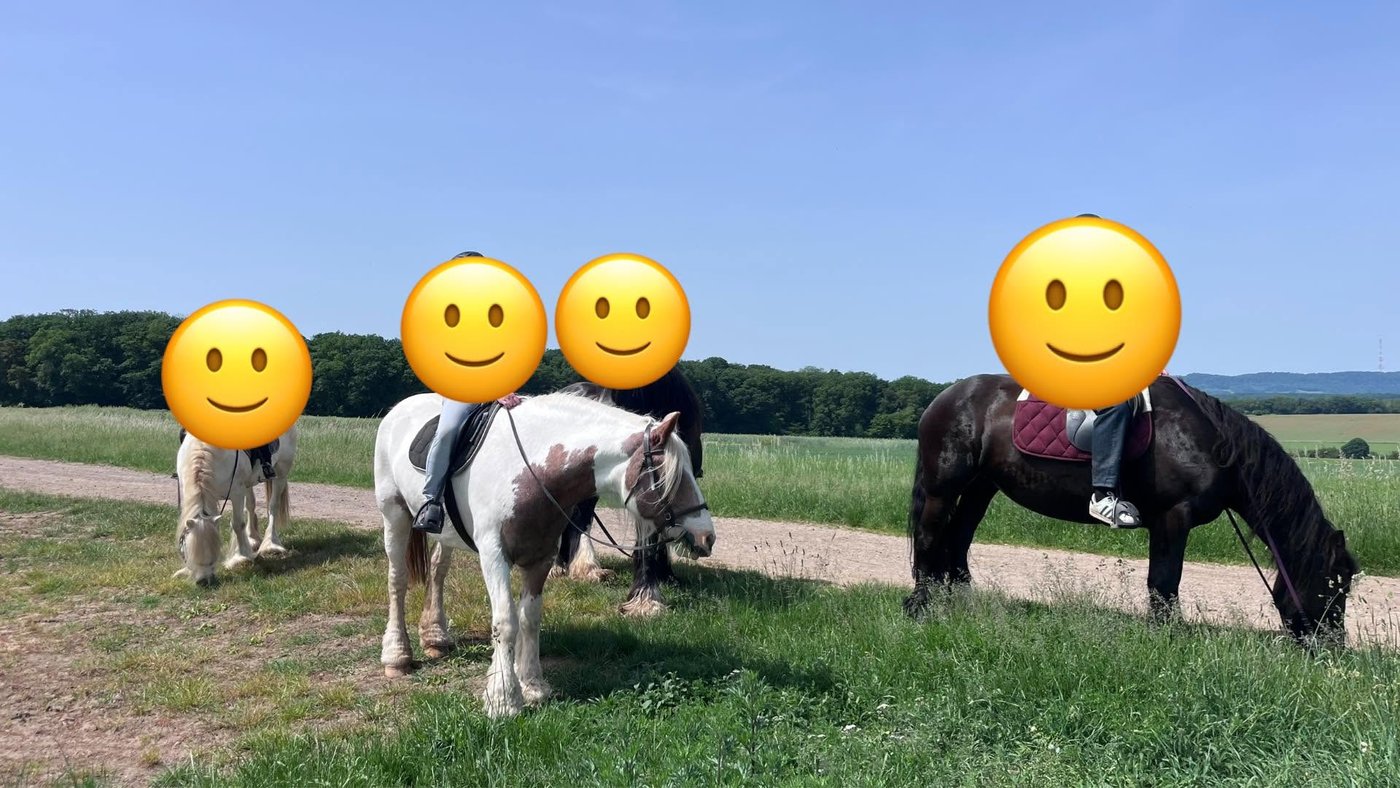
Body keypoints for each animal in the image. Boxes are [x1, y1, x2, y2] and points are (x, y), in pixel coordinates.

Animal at [174, 427, 297, 586]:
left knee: (273, 507)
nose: (204, 581)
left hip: (281, 472)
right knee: (251, 505)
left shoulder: (237, 492)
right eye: (188, 549)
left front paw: (241, 557)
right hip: (248, 483)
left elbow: (238, 524)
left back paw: (271, 544)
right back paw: (252, 538)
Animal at [902, 373, 1359, 646]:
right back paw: (921, 605)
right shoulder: (1174, 516)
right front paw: (1165, 635)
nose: (1332, 647)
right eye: (1335, 586)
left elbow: (1163, 581)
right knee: (930, 537)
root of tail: (945, 397)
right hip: (944, 487)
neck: (1212, 442)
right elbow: (1164, 580)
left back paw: (963, 603)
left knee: (959, 540)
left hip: (982, 488)